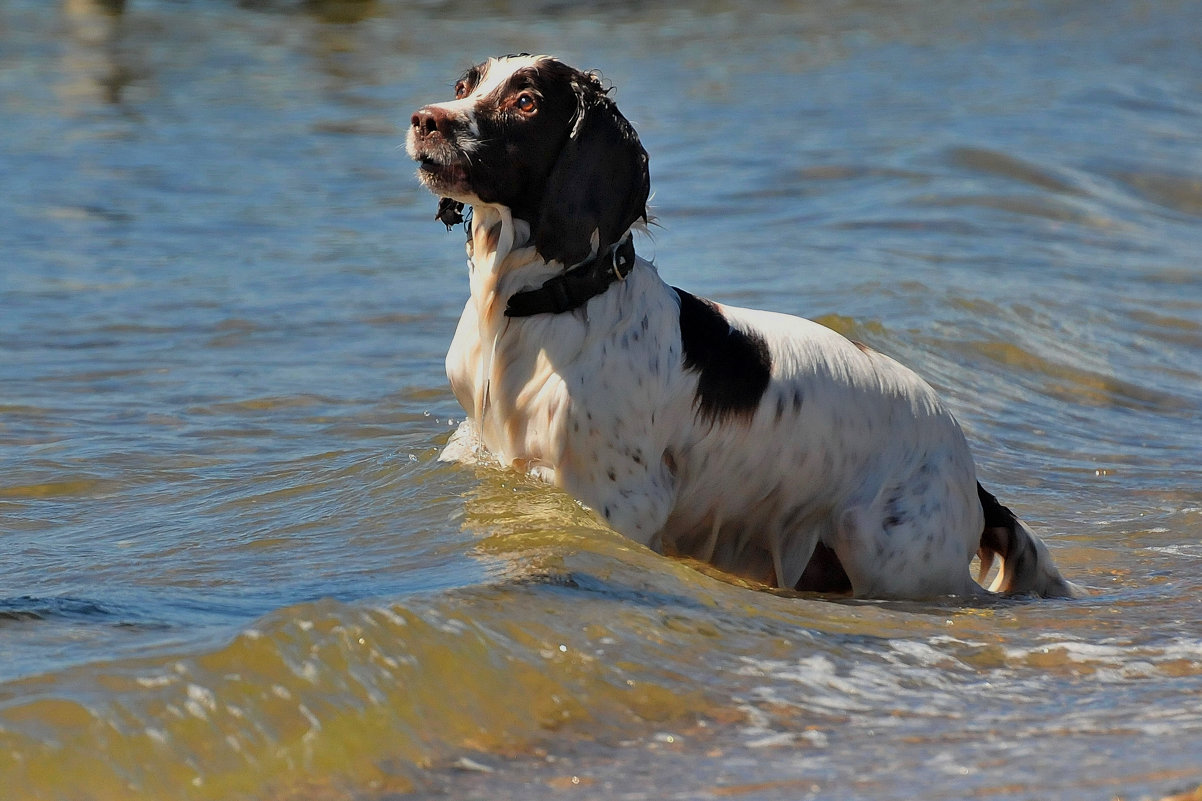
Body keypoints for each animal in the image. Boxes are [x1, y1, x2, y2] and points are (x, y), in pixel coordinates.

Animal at [406, 52, 1081, 596]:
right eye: (465, 84)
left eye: (526, 102)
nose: (424, 119)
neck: (541, 310)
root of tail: (970, 473)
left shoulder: (618, 502)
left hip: (896, 558)